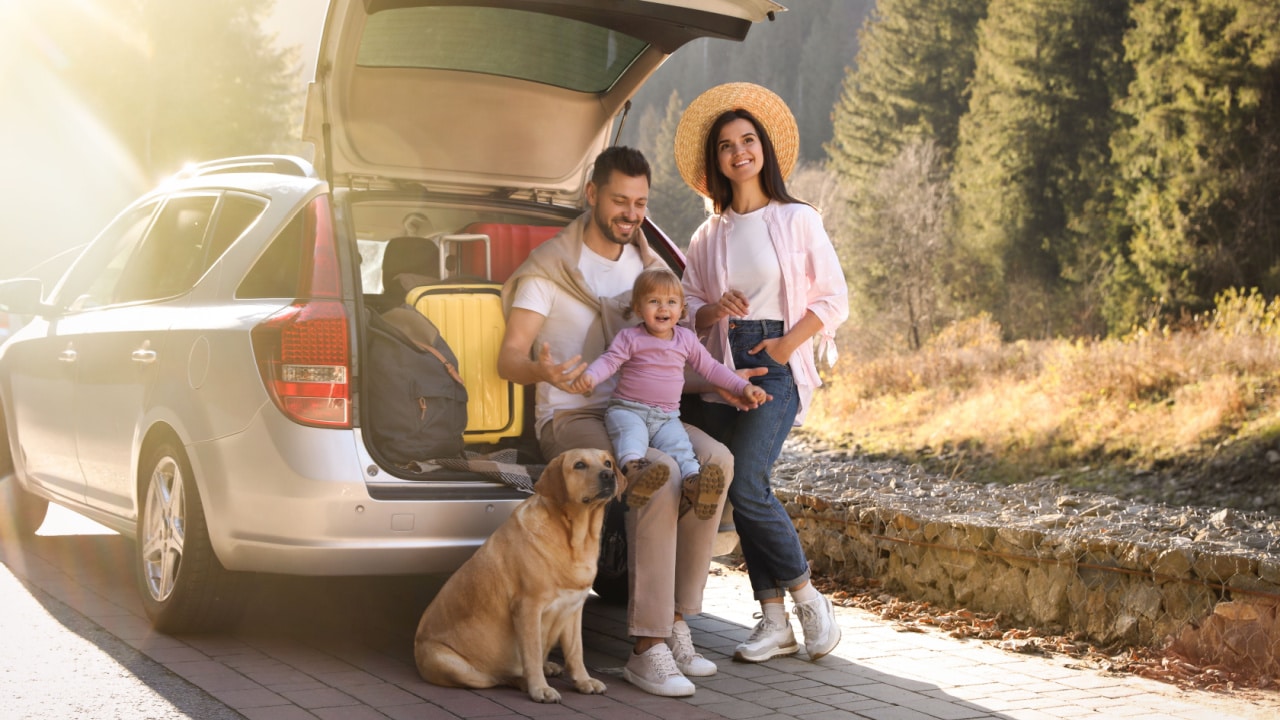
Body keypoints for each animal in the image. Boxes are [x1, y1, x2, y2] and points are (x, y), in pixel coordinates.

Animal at [414, 448, 619, 702]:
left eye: (608, 462)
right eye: (579, 465)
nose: (609, 475)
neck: (574, 539)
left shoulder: (573, 608)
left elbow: (575, 651)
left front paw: (583, 681)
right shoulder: (528, 607)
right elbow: (532, 653)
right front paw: (539, 688)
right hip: (457, 667)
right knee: (499, 677)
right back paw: (525, 680)